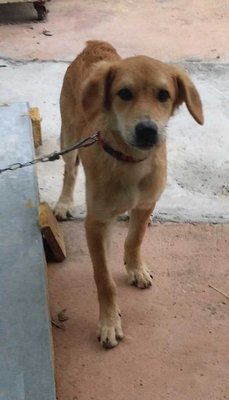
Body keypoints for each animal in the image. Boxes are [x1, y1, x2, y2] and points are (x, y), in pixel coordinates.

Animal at [54, 39, 204, 348]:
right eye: (124, 93)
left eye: (163, 95)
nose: (147, 131)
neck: (130, 161)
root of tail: (96, 46)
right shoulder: (96, 224)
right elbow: (104, 279)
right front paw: (109, 322)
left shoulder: (146, 203)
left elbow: (135, 239)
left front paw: (135, 268)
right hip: (70, 137)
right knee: (70, 171)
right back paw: (64, 203)